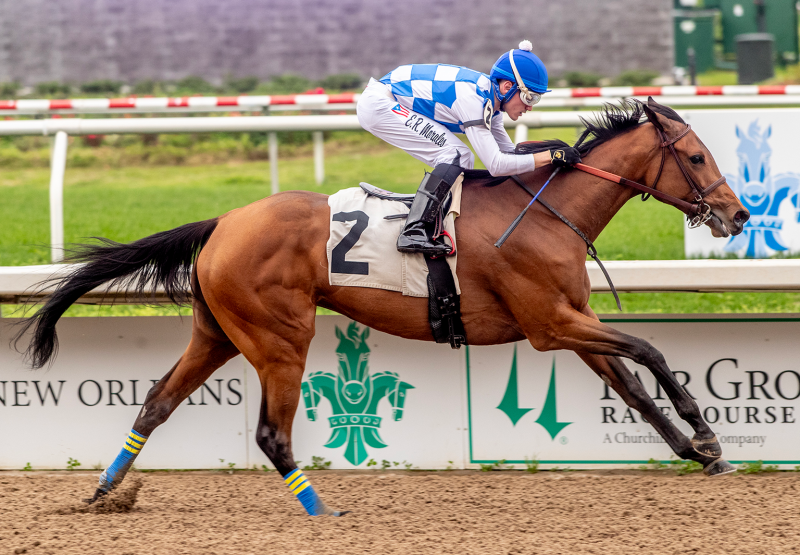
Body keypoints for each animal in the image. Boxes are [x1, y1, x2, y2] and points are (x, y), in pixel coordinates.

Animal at [12, 99, 752, 516]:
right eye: (694, 155)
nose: (739, 213)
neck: (547, 212)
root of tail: (222, 221)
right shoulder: (551, 325)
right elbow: (651, 352)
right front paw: (708, 436)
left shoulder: (574, 324)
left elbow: (633, 387)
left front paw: (696, 449)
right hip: (280, 337)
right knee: (270, 432)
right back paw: (319, 510)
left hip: (216, 333)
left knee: (155, 403)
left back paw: (104, 493)